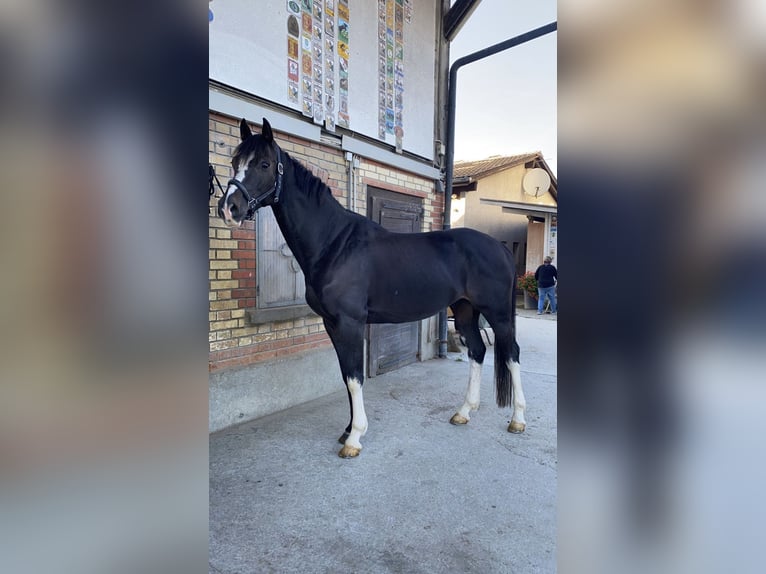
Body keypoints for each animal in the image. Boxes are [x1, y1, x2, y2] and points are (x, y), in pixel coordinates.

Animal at [219, 118, 524, 460]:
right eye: (235, 161)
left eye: (264, 164)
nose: (229, 208)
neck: (335, 243)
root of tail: (500, 247)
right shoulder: (332, 324)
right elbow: (345, 375)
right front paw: (347, 430)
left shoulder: (350, 323)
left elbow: (354, 378)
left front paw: (354, 439)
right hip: (464, 310)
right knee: (477, 351)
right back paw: (463, 412)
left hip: (497, 313)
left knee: (512, 354)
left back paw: (517, 420)